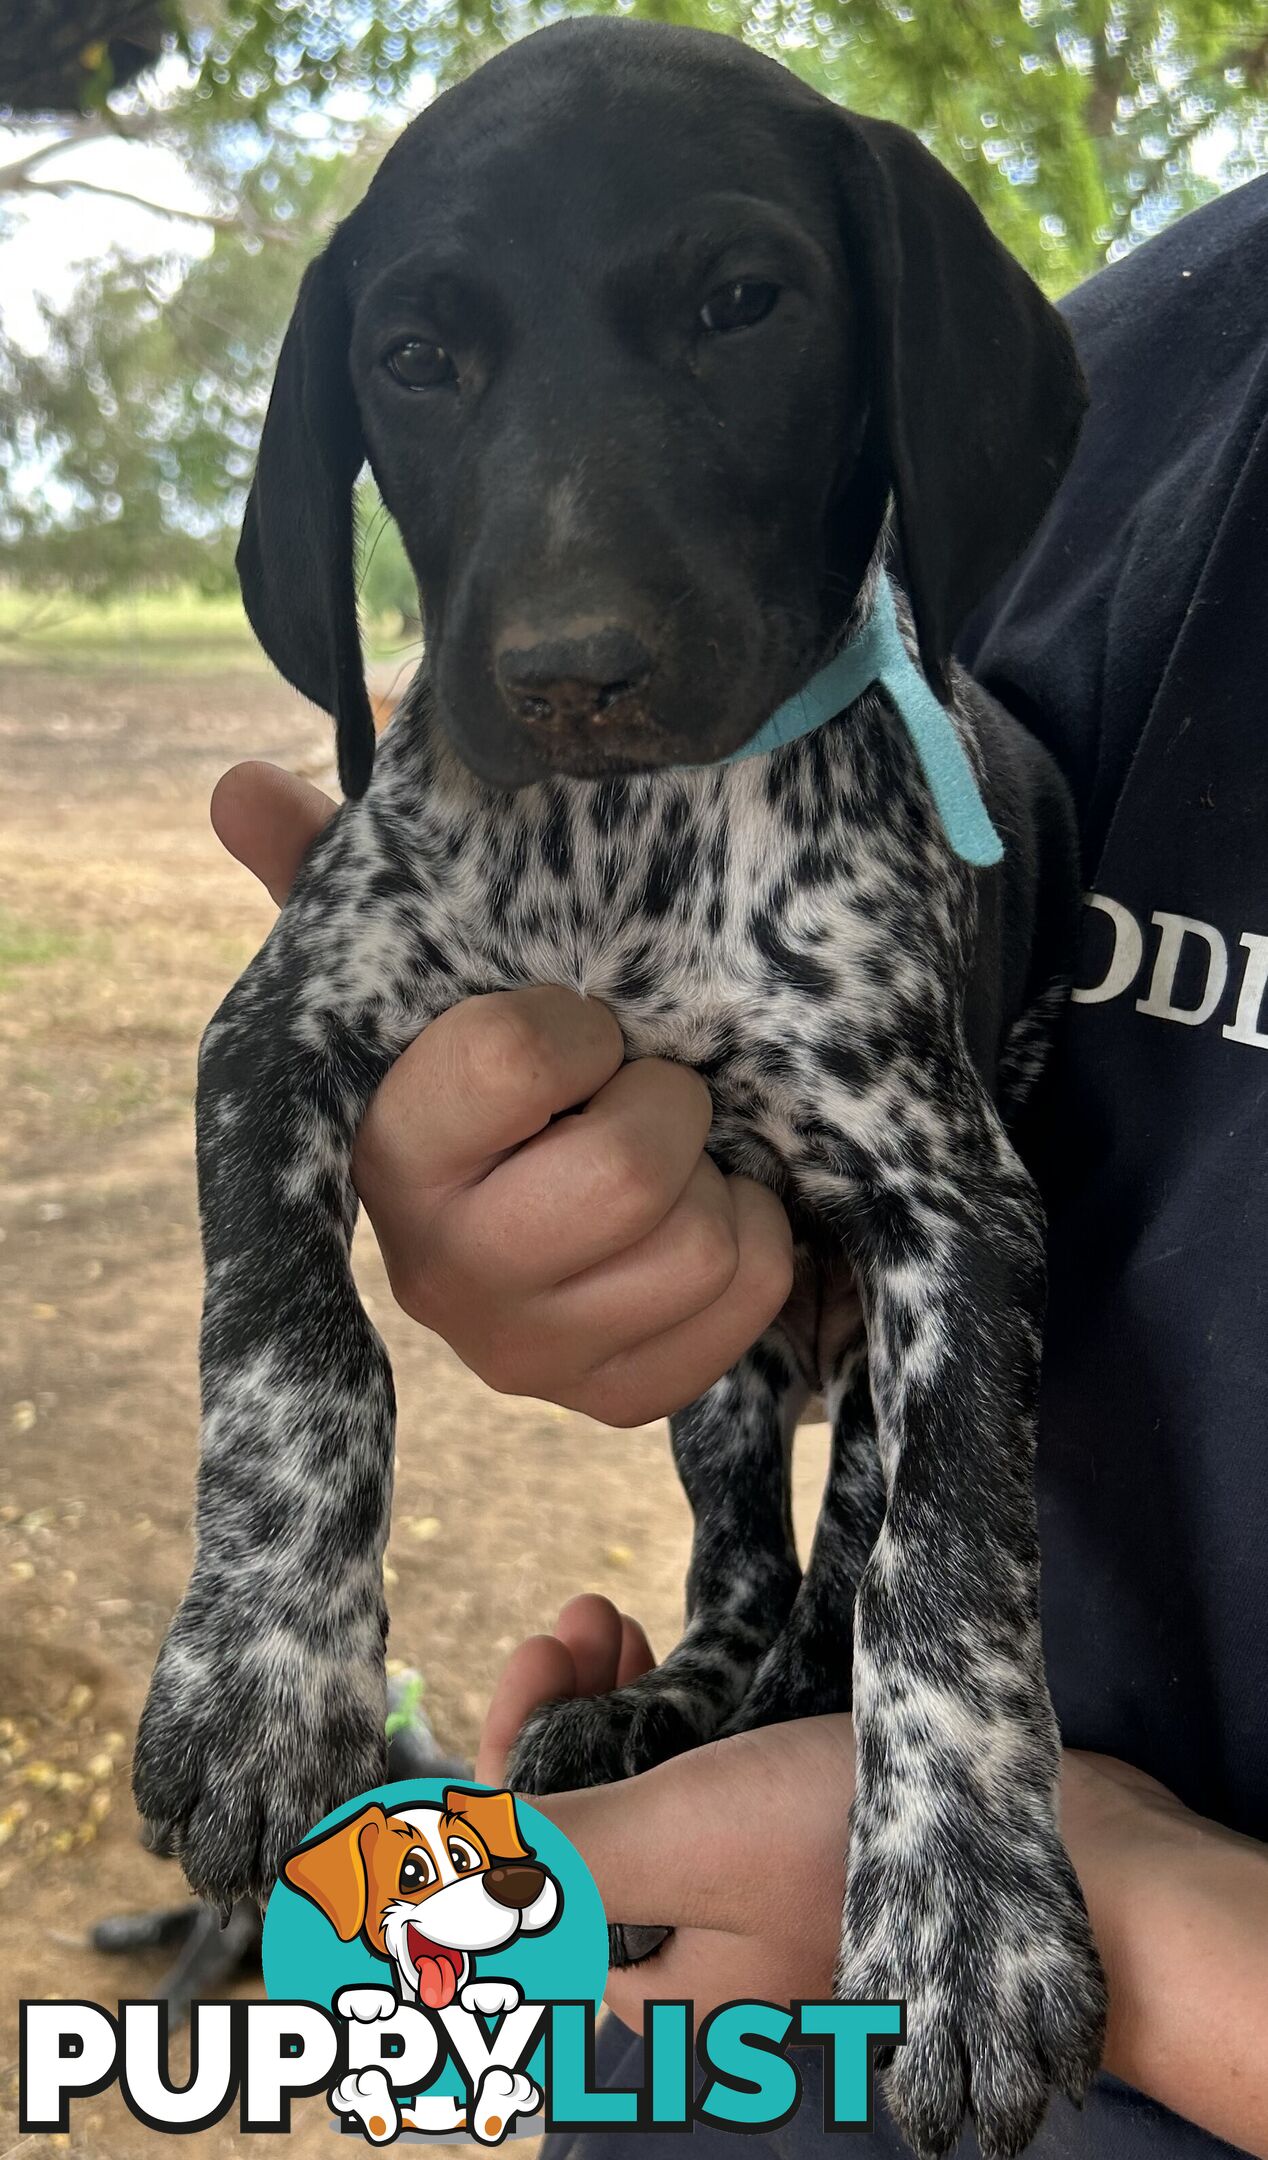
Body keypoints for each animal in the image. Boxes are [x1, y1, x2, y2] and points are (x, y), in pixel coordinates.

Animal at [136, 21, 1101, 2160]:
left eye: (746, 306)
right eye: (415, 356)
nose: (573, 674)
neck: (618, 855)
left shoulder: (955, 1212)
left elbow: (952, 1562)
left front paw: (968, 1904)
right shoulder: (279, 1028)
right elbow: (292, 1346)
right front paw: (262, 1676)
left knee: (842, 1559)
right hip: (724, 1383)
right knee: (743, 1562)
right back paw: (664, 1700)